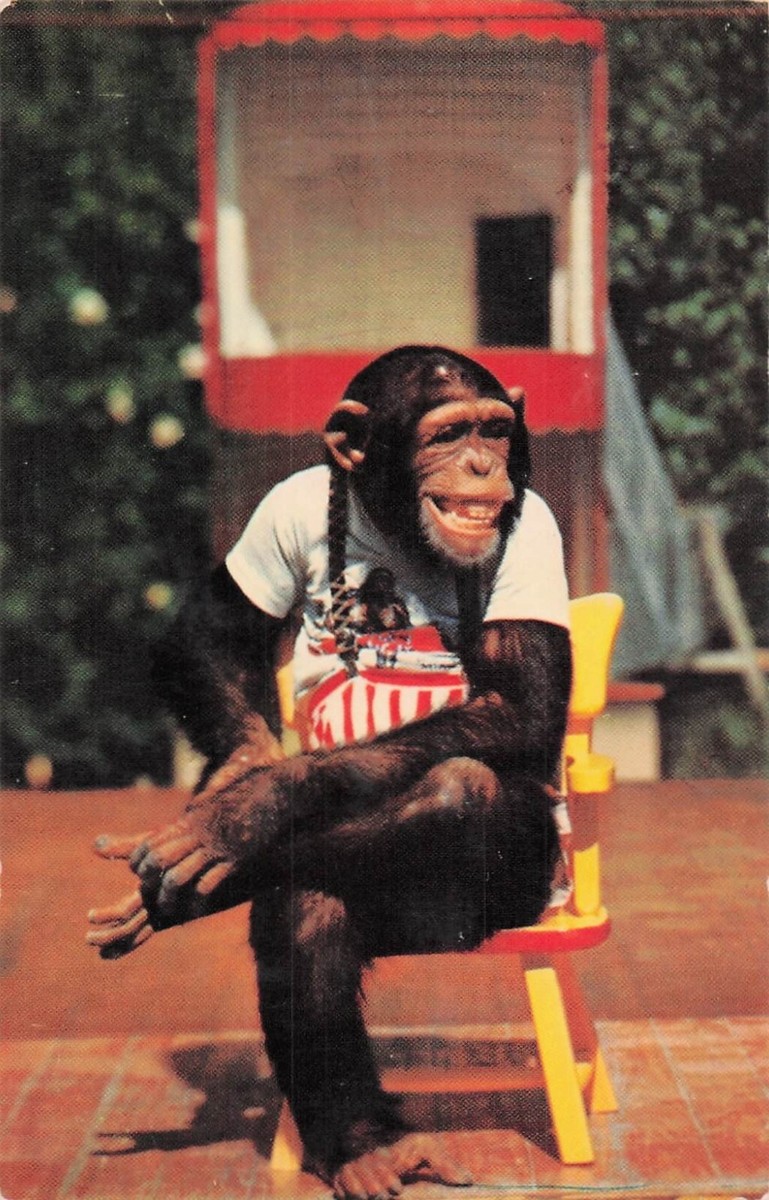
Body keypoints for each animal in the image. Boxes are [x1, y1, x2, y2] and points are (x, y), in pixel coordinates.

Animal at [87, 346, 572, 1200]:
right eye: (447, 435)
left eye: (493, 429)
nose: (483, 465)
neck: (394, 531)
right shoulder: (279, 508)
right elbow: (212, 625)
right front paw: (243, 765)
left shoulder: (535, 533)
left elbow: (517, 705)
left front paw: (250, 806)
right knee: (305, 907)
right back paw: (361, 1140)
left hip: (507, 903)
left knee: (457, 791)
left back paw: (183, 891)